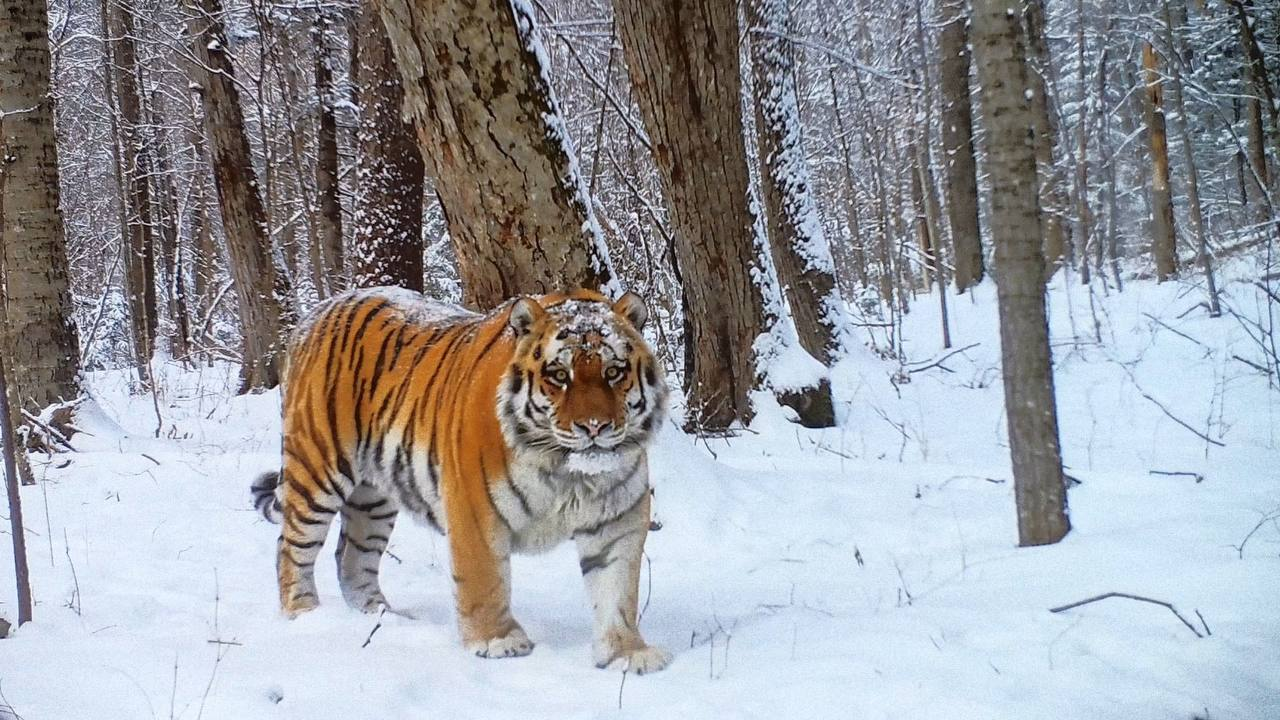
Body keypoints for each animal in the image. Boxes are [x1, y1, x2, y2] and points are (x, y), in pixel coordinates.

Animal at [247, 283, 670, 671]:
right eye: (558, 375)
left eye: (613, 372)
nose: (594, 427)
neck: (568, 472)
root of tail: (316, 313)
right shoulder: (475, 509)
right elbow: (484, 578)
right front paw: (498, 641)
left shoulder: (618, 520)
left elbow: (617, 590)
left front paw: (627, 652)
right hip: (317, 468)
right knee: (290, 547)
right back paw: (304, 613)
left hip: (373, 499)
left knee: (352, 558)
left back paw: (381, 616)